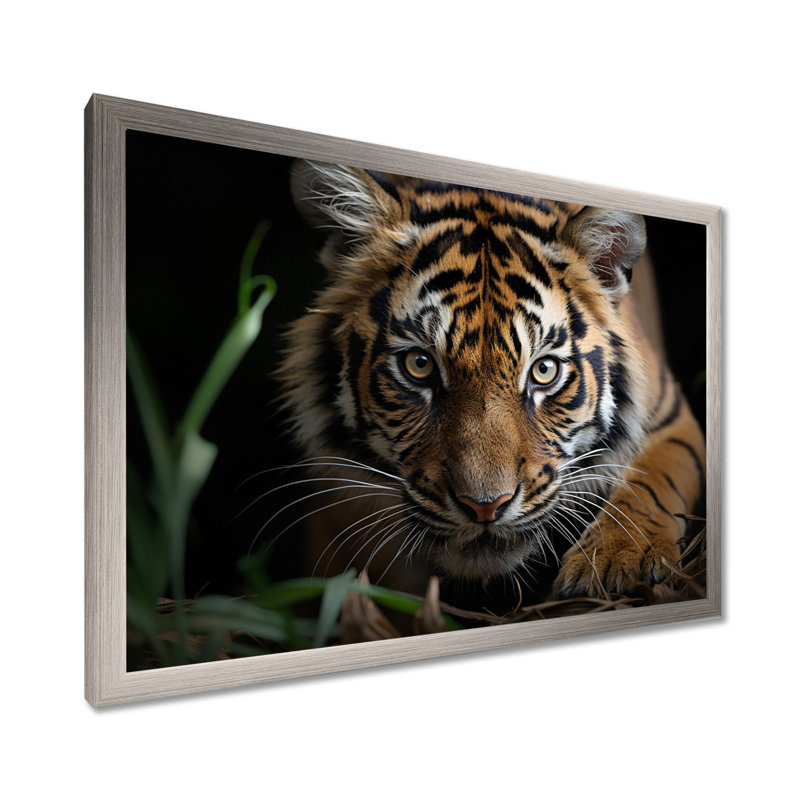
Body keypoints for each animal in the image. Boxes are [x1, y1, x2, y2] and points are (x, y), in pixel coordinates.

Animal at [276, 160, 706, 607]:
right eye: (419, 365)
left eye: (543, 370)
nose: (485, 507)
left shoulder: (670, 417)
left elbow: (650, 484)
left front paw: (617, 561)